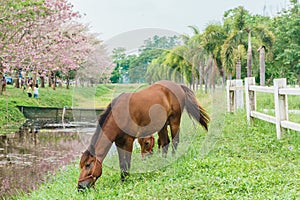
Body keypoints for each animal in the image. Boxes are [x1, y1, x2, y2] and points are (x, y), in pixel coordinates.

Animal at [77, 79, 210, 189]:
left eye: (88, 165)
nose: (80, 187)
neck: (119, 115)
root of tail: (178, 85)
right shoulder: (119, 143)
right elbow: (121, 163)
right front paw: (122, 179)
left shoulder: (128, 141)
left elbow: (127, 162)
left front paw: (126, 180)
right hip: (162, 125)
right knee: (165, 142)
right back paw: (163, 162)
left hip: (174, 121)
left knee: (175, 141)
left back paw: (172, 158)